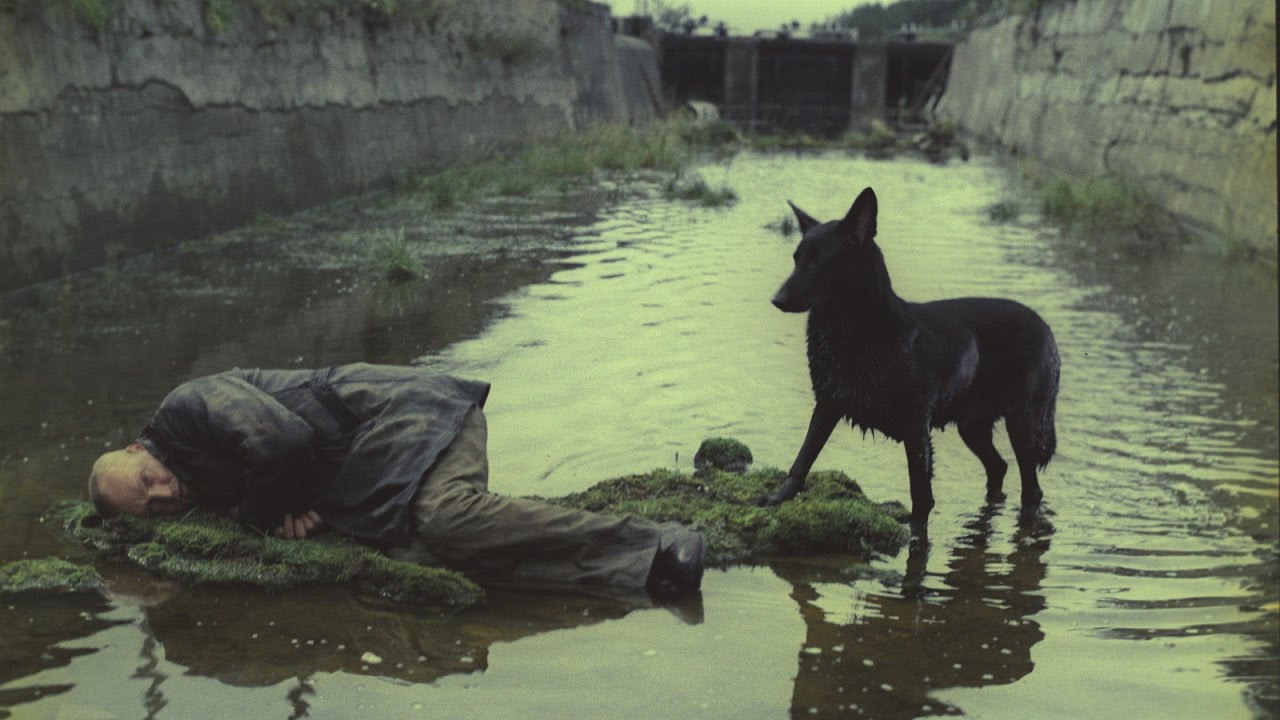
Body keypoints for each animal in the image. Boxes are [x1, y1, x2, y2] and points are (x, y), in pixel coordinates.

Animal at [762, 185, 1054, 520]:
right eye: (796, 259)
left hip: (1021, 424)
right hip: (972, 427)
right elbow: (803, 458)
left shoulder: (916, 429)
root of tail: (1045, 327)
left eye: (818, 262)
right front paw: (778, 497)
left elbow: (921, 498)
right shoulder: (827, 405)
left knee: (1031, 488)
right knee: (999, 467)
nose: (777, 300)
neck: (855, 331)